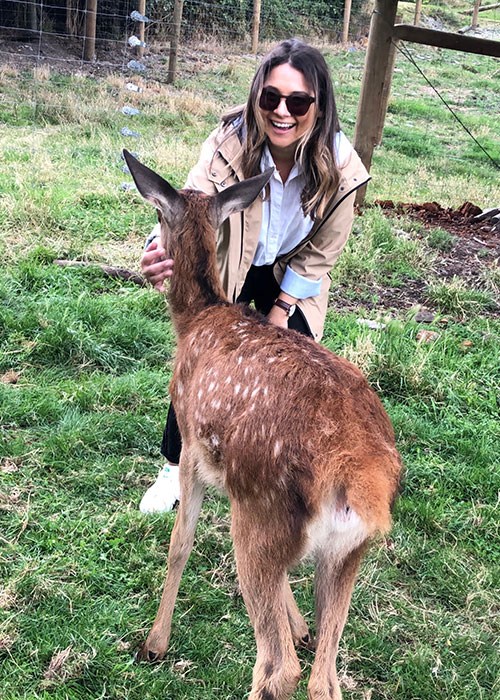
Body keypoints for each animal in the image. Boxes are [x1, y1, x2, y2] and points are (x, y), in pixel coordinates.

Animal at [123, 148, 402, 700]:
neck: (196, 320)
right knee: (324, 678)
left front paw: (155, 643)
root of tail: (361, 478)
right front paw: (299, 625)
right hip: (345, 551)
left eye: (159, 215)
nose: (149, 247)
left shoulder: (194, 446)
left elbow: (180, 543)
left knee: (279, 667)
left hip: (260, 516)